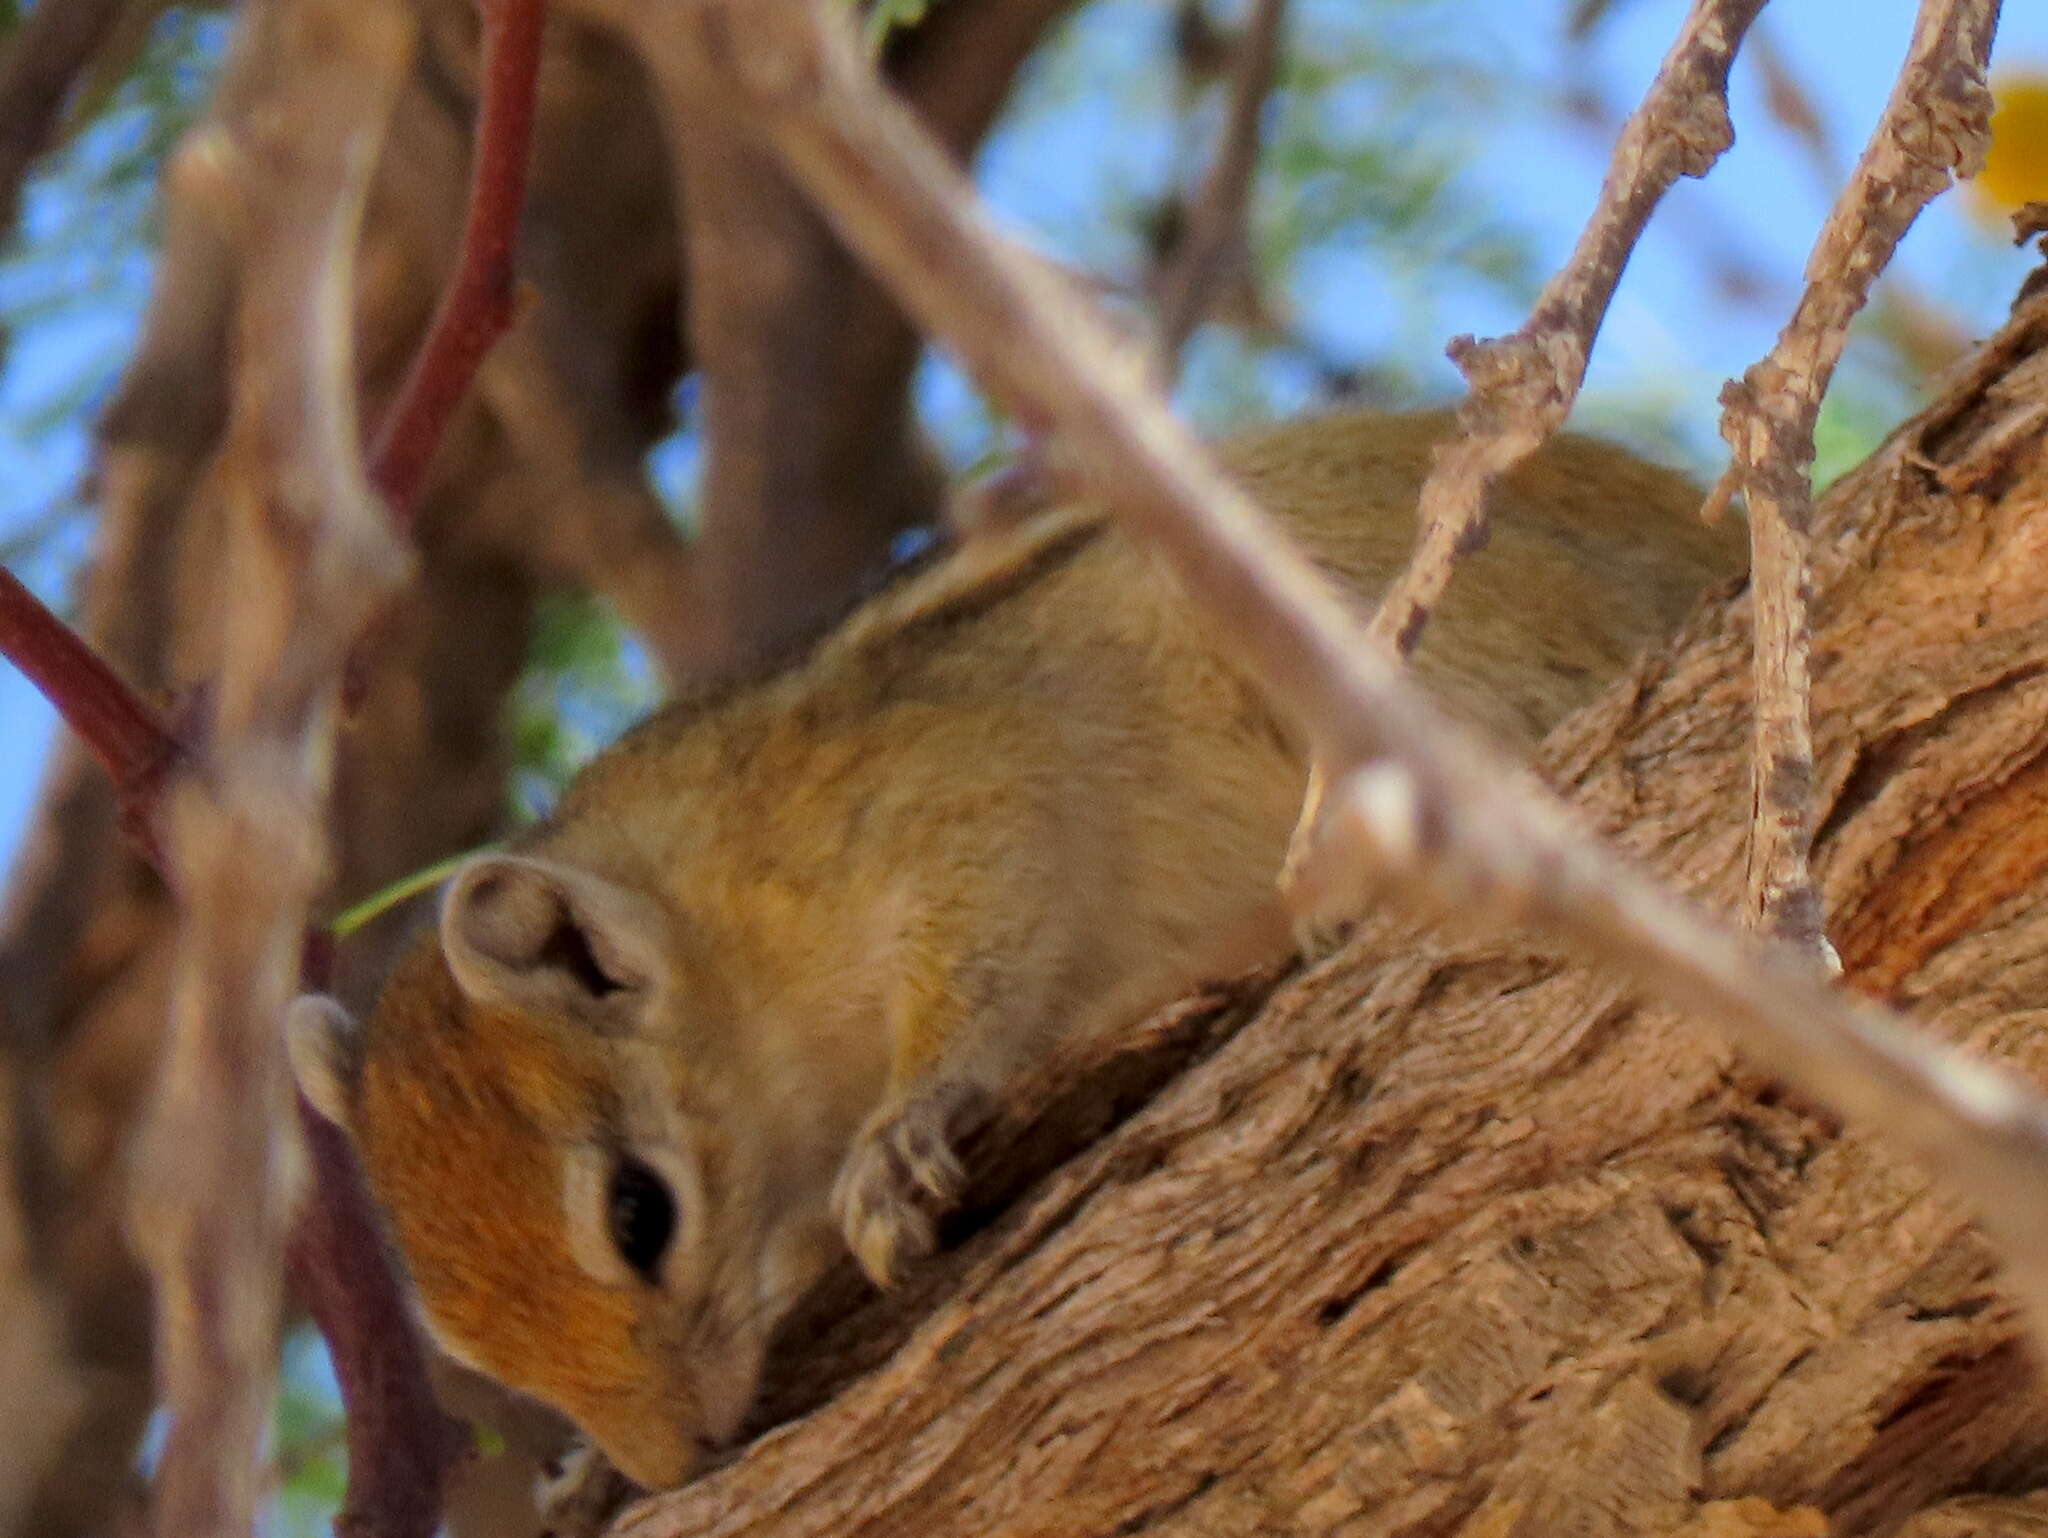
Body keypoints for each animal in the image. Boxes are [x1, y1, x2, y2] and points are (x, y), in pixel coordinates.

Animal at [280, 409, 1744, 1490]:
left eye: (640, 1213)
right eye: (459, 1333)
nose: (676, 1460)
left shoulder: (956, 802)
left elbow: (984, 961)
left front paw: (905, 1133)